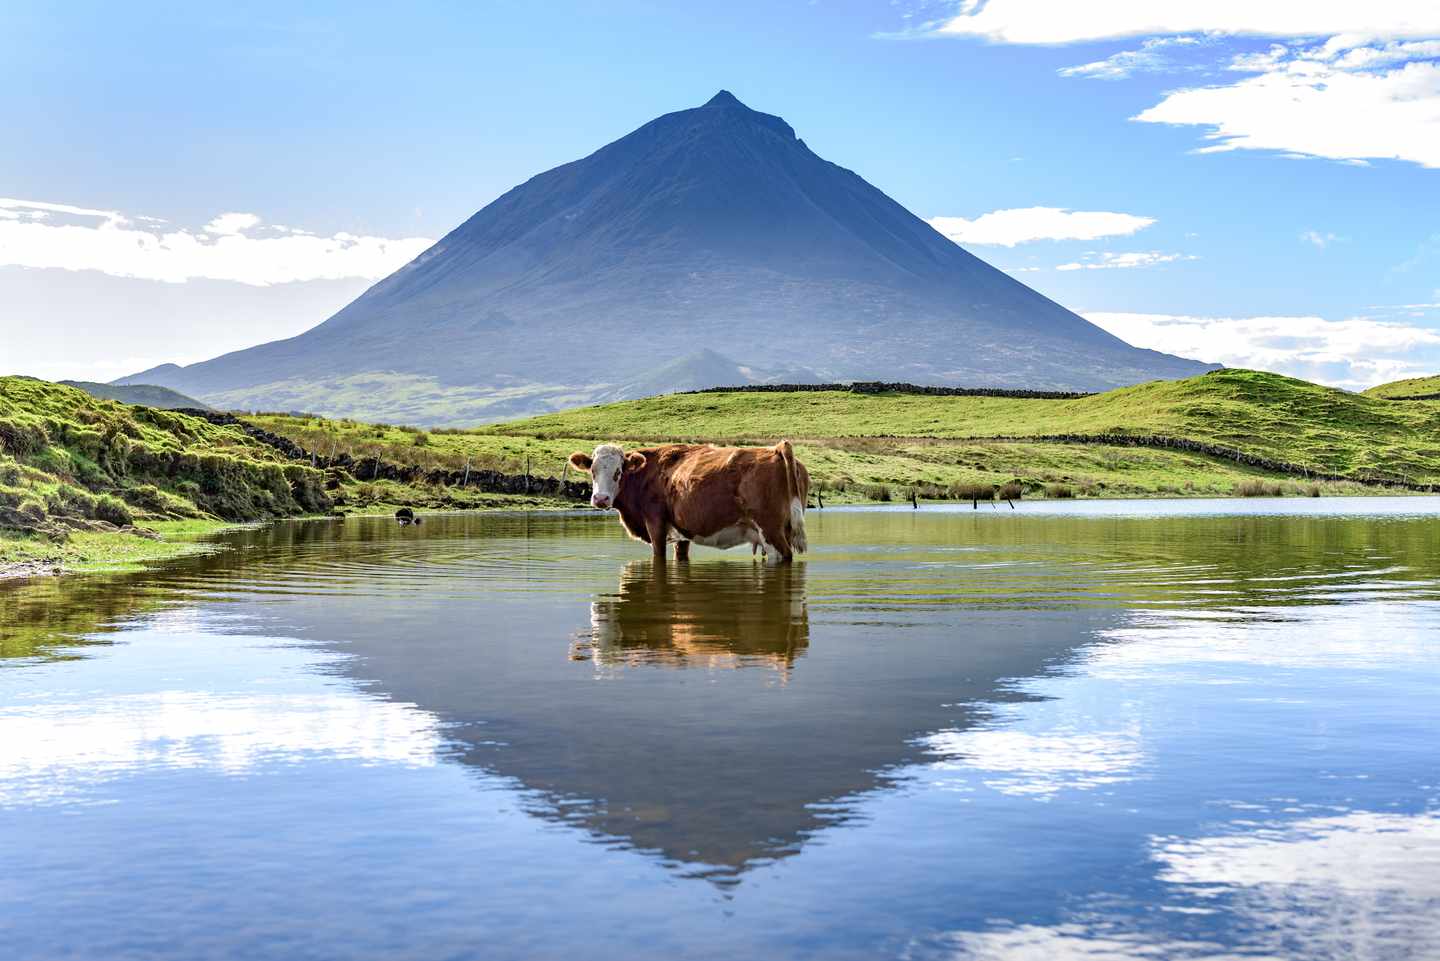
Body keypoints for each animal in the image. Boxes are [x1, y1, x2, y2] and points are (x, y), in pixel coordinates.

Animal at [568, 440, 809, 562]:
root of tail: (776, 449)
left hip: (770, 530)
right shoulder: (681, 532)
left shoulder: (655, 523)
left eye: (618, 472)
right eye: (592, 471)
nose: (600, 499)